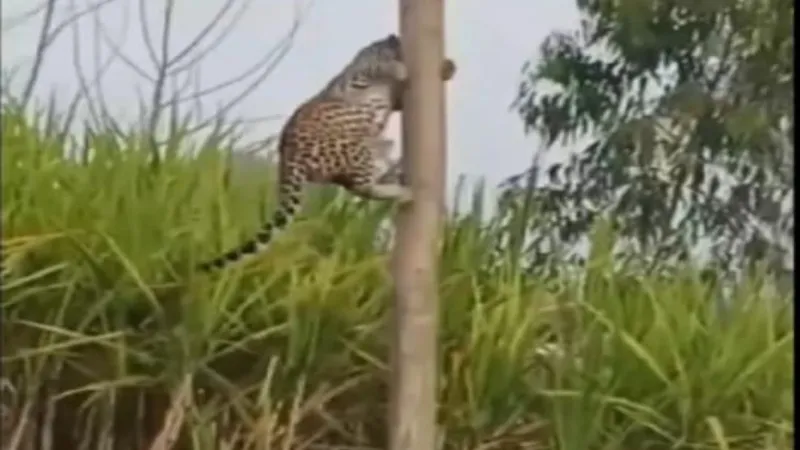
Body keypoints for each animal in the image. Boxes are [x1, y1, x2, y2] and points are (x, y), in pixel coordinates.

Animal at [197, 34, 456, 272]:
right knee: (362, 186)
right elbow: (378, 66)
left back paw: (398, 173)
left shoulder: (395, 98)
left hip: (369, 149)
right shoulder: (360, 76)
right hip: (356, 148)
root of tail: (287, 159)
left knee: (362, 182)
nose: (394, 41)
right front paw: (397, 66)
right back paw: (404, 190)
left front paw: (447, 67)